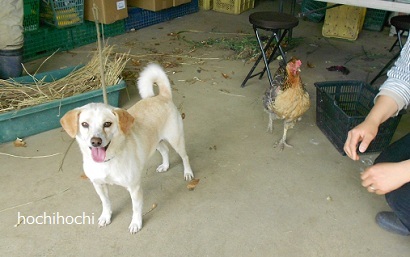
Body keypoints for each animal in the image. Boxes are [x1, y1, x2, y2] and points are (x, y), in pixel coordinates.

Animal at [60, 63, 195, 233]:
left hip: (176, 139)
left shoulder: (134, 188)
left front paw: (136, 223)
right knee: (165, 150)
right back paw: (165, 166)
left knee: (185, 157)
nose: (95, 141)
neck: (107, 161)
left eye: (107, 124)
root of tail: (162, 96)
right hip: (155, 142)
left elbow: (136, 209)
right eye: (84, 124)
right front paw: (106, 217)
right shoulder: (99, 185)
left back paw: (188, 173)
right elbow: (106, 203)